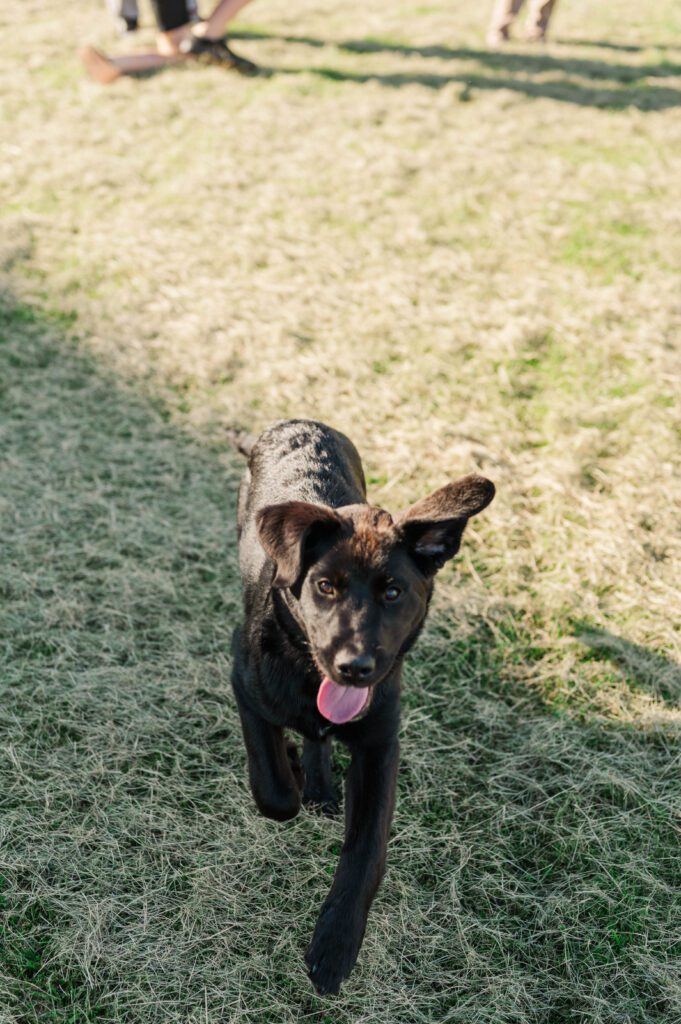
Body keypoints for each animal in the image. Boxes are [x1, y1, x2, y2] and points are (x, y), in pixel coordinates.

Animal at [231, 415, 491, 991]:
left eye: (393, 592)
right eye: (325, 586)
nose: (353, 667)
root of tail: (296, 422)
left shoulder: (380, 745)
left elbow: (367, 850)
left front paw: (336, 942)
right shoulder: (245, 684)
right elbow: (273, 791)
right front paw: (291, 772)